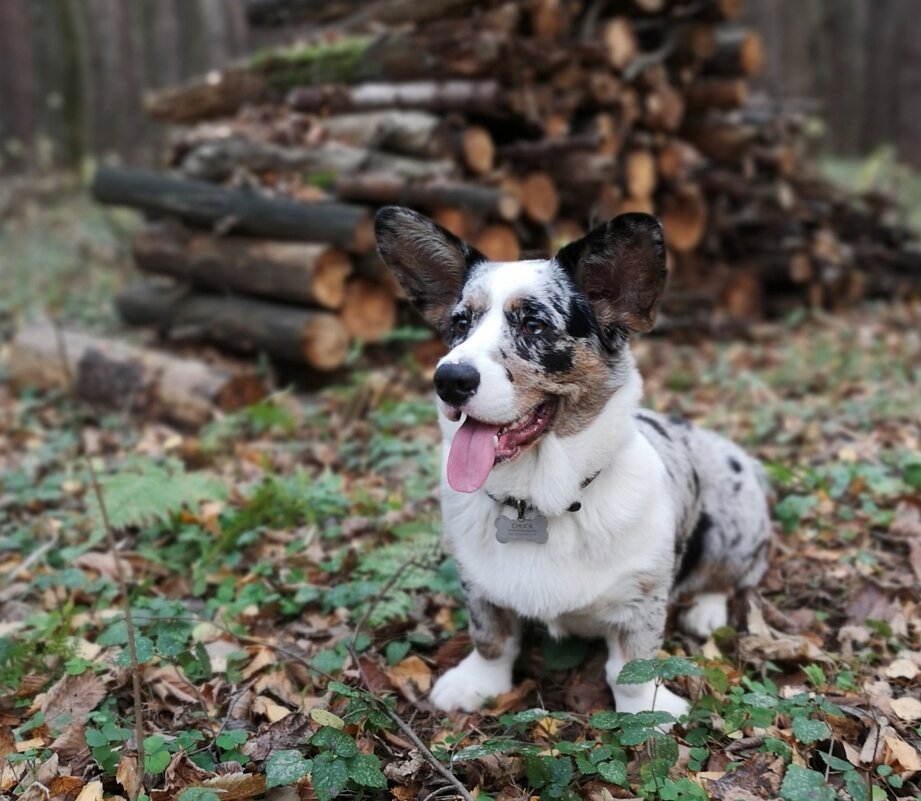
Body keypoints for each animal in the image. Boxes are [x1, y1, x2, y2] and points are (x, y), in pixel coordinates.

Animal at [374, 206, 768, 720]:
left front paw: (647, 713)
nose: (449, 379)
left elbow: (632, 668)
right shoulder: (478, 587)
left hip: (731, 524)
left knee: (729, 577)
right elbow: (491, 639)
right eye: (460, 324)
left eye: (534, 324)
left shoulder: (641, 599)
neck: (540, 499)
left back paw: (707, 611)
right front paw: (475, 684)